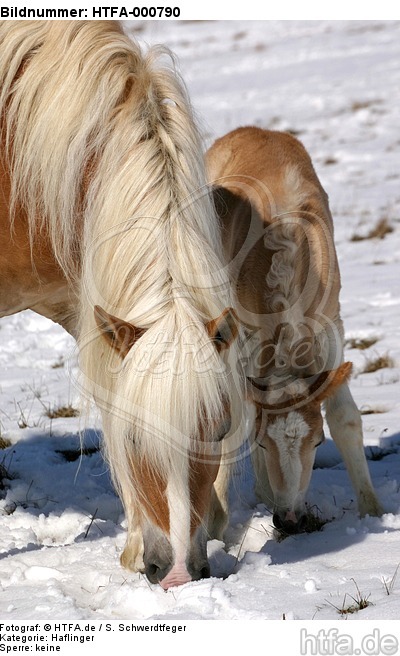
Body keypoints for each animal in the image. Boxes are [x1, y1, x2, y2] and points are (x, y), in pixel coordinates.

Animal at [206, 126, 383, 535]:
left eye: (317, 443)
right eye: (265, 446)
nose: (288, 520)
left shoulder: (332, 330)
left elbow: (345, 418)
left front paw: (373, 512)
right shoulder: (241, 340)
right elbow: (238, 423)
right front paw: (217, 526)